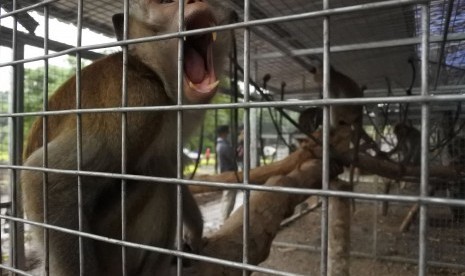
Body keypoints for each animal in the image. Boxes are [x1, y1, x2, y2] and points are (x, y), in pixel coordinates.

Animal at [20, 1, 234, 274]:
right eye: (165, 3)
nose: (192, 2)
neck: (153, 73)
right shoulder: (138, 102)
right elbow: (44, 179)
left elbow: (171, 160)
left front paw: (195, 231)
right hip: (111, 243)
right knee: (158, 175)